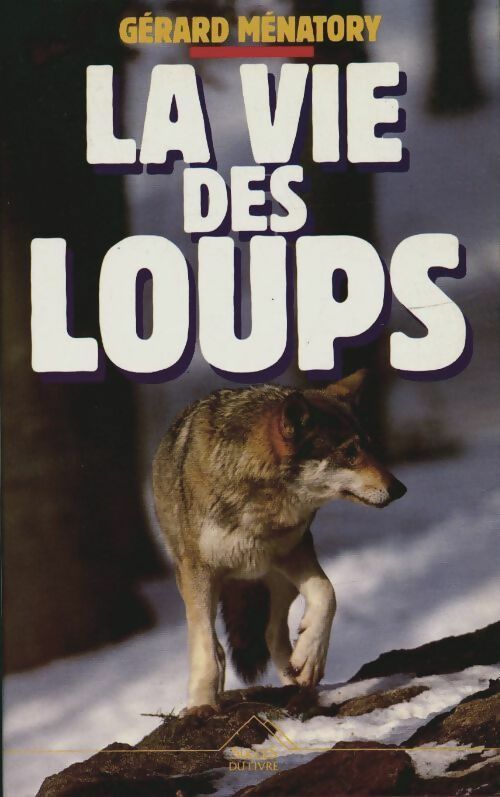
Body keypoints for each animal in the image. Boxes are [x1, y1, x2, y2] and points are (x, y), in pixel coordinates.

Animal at [153, 370, 406, 715]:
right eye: (349, 453)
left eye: (368, 446)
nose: (399, 488)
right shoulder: (199, 572)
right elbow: (205, 648)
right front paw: (202, 704)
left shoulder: (294, 550)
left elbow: (327, 594)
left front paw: (310, 657)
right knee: (217, 644)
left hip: (276, 581)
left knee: (272, 633)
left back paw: (299, 681)